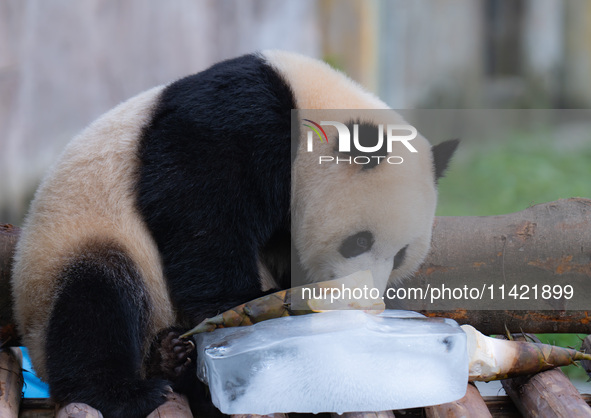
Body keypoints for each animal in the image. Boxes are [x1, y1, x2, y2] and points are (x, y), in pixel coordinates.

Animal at [11, 51, 460, 418]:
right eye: (360, 241)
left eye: (401, 256)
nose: (365, 301)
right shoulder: (235, 120)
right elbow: (201, 209)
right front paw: (236, 304)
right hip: (75, 246)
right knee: (94, 302)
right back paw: (130, 388)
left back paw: (173, 358)